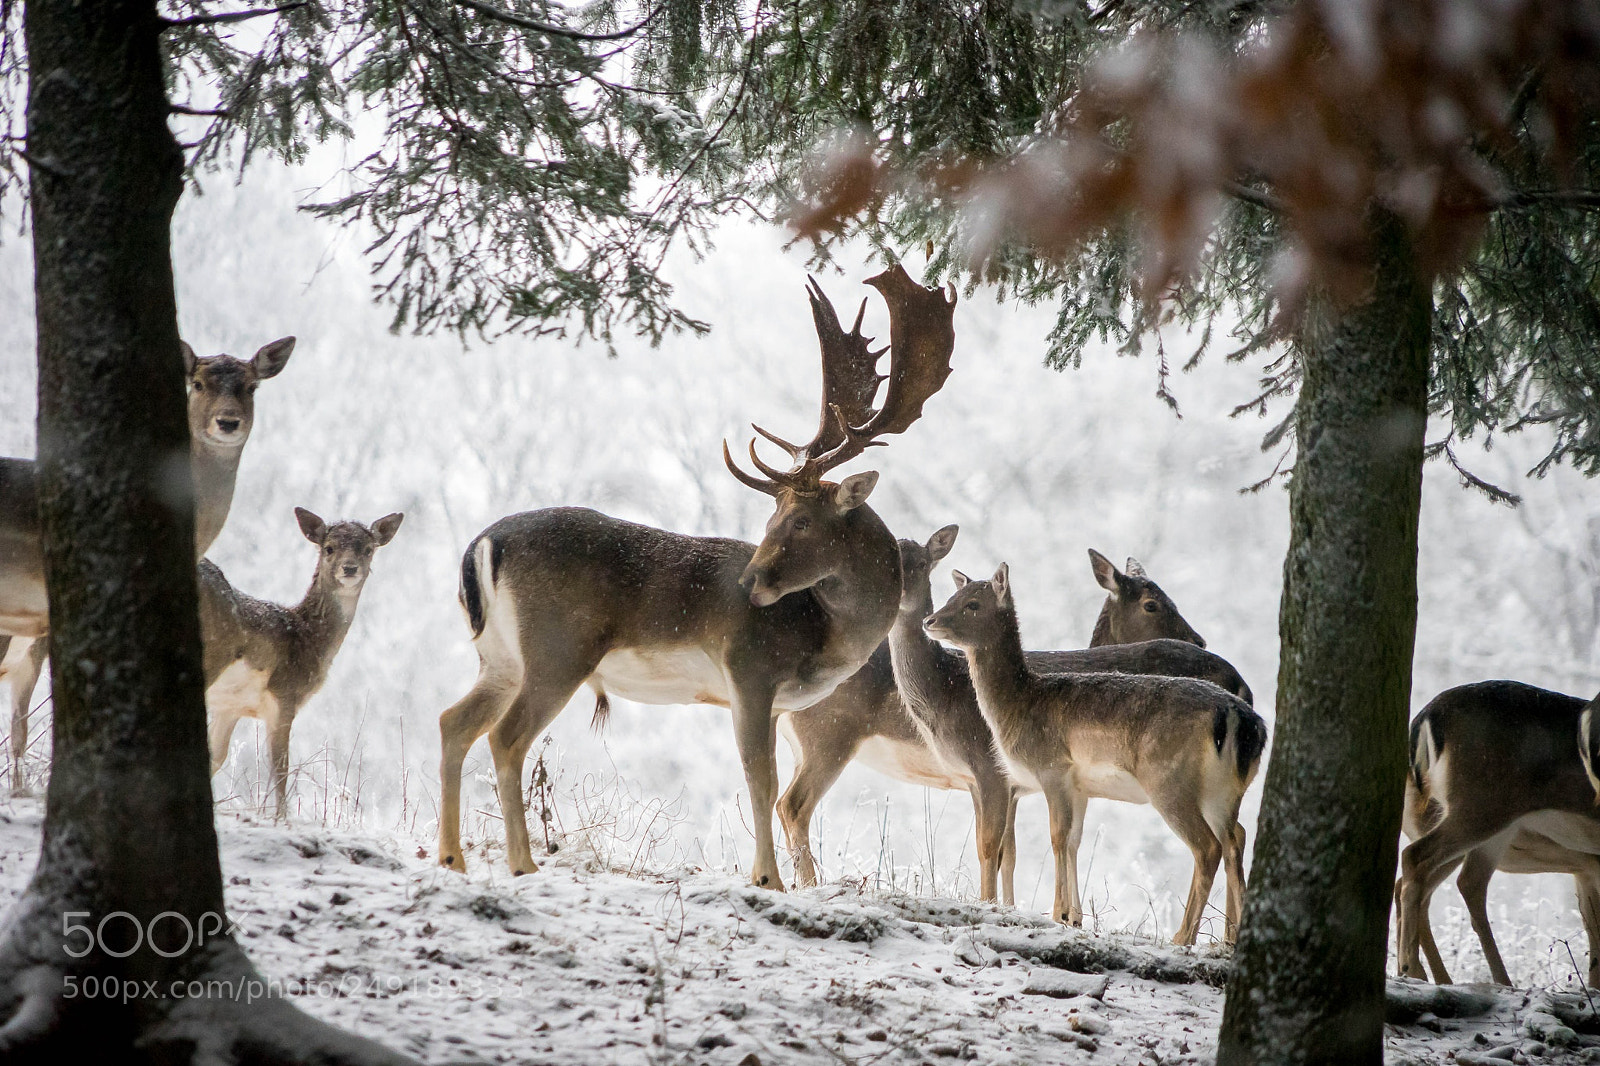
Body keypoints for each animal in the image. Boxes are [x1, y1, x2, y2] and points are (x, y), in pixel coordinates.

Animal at [200, 507, 403, 820]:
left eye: (368, 549)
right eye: (329, 548)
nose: (349, 568)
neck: (307, 638)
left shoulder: (229, 706)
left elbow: (217, 757)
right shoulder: (284, 694)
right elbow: (280, 767)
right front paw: (281, 818)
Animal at [436, 265, 957, 888]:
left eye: (800, 519)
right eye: (774, 515)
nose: (748, 586)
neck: (825, 635)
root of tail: (482, 546)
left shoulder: (772, 701)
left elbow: (766, 784)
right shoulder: (749, 669)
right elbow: (761, 780)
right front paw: (767, 879)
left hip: (500, 656)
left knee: (453, 721)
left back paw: (451, 857)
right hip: (559, 646)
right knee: (506, 737)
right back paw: (522, 862)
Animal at [777, 539, 1254, 898]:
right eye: (1153, 605)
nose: (1199, 637)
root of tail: (1241, 687)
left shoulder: (1005, 777)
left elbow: (1010, 849)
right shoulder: (1001, 775)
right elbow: (1011, 848)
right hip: (827, 737)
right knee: (792, 804)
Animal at [922, 565, 1267, 944]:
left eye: (972, 604)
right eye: (952, 596)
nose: (929, 620)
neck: (1019, 704)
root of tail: (1244, 720)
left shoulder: (1052, 767)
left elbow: (1056, 836)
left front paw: (1058, 913)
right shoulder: (1080, 786)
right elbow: (1073, 840)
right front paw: (1072, 916)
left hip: (1169, 781)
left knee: (1208, 847)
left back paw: (1183, 937)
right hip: (1225, 791)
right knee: (1235, 838)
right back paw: (1234, 936)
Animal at [1396, 680, 1600, 986]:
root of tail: (1425, 719)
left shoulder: (1587, 868)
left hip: (1476, 823)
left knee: (1446, 881)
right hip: (1483, 804)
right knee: (1420, 860)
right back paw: (1416, 970)